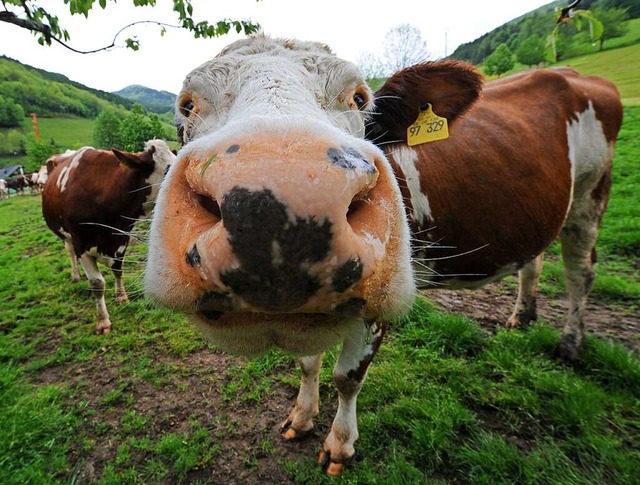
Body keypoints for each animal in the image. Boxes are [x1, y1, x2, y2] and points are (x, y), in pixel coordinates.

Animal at [42, 140, 175, 332]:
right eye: (168, 170)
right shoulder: (80, 243)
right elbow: (97, 283)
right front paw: (103, 321)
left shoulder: (121, 238)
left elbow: (118, 269)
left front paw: (121, 297)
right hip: (66, 236)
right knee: (70, 252)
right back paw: (75, 275)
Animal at [142, 36, 624, 474]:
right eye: (187, 105)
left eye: (360, 97)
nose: (279, 202)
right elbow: (307, 362)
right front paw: (302, 417)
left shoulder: (375, 308)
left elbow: (347, 377)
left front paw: (340, 446)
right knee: (534, 259)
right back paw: (521, 316)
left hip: (590, 197)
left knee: (580, 271)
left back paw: (570, 342)